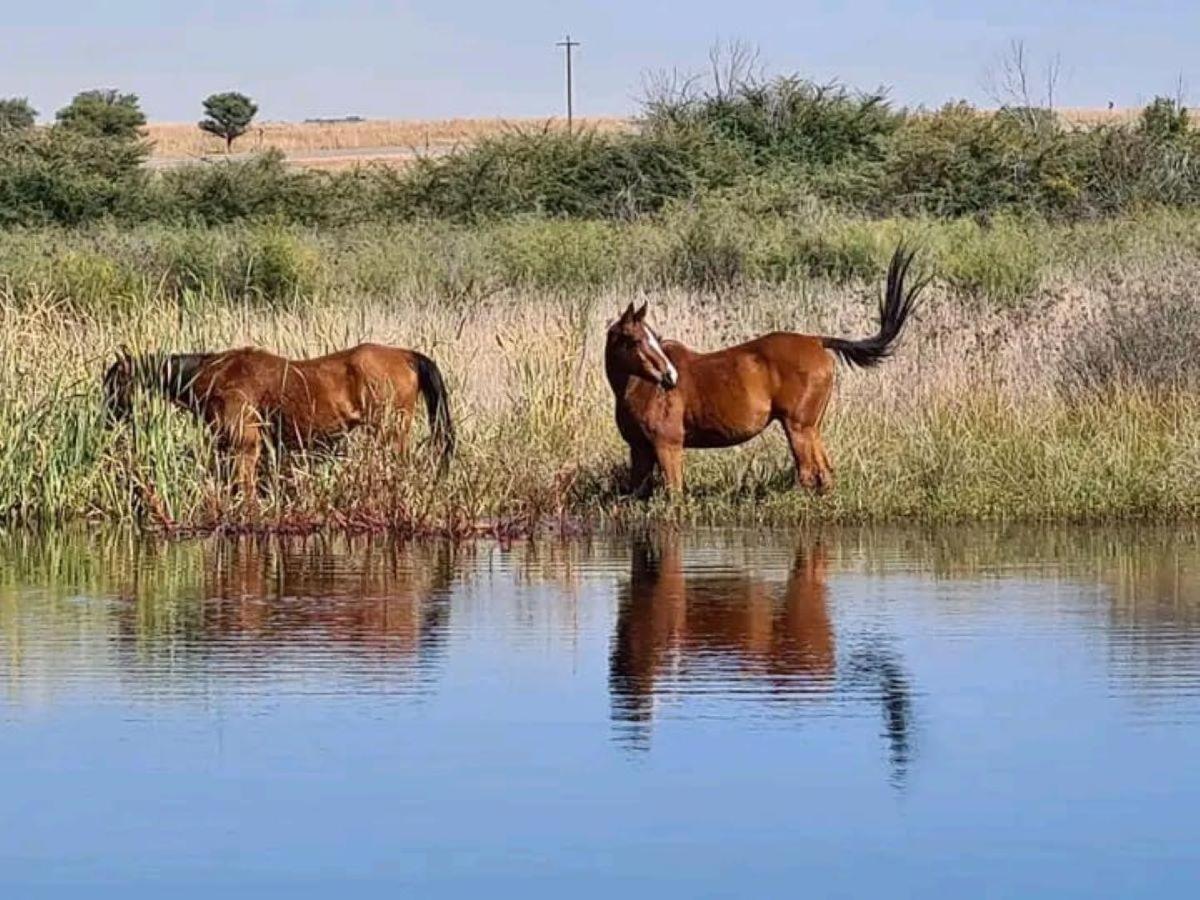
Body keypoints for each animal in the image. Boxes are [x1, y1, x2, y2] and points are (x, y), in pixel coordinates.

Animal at [104, 343, 453, 494]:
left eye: (115, 383)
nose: (109, 418)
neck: (215, 374)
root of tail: (406, 355)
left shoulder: (245, 444)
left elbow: (244, 486)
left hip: (391, 432)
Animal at [604, 244, 921, 494]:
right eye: (635, 339)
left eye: (654, 338)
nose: (670, 377)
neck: (639, 388)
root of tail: (816, 340)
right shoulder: (640, 450)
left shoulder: (668, 446)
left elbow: (674, 496)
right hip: (812, 427)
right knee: (824, 473)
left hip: (798, 427)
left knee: (808, 473)